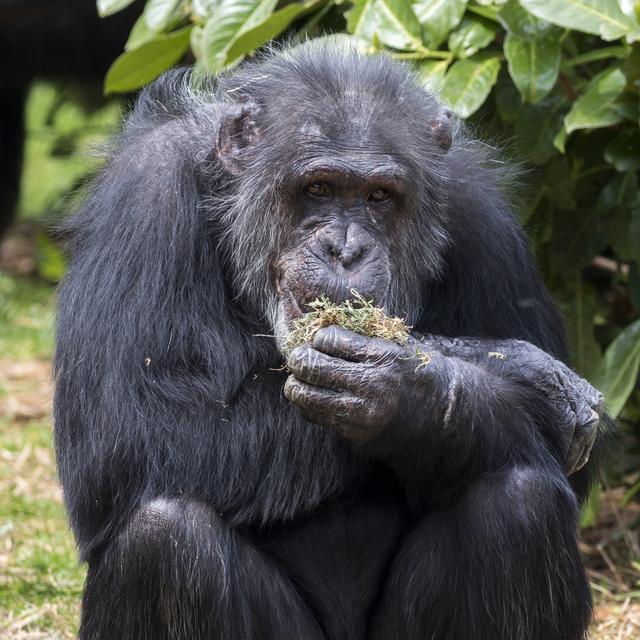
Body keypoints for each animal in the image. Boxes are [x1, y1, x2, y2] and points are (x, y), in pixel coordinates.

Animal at [53, 42, 604, 636]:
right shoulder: (144, 195)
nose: (346, 248)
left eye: (380, 196)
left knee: (521, 504)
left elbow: (573, 474)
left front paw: (414, 393)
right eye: (317, 188)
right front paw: (530, 383)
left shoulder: (484, 214)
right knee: (165, 538)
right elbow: (127, 428)